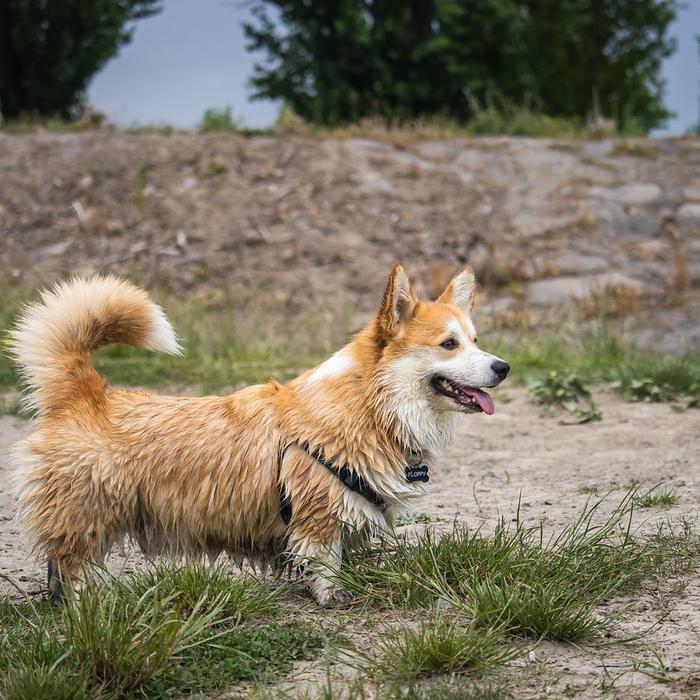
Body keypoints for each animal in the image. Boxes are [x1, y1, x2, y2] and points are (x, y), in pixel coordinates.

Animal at [9, 266, 508, 604]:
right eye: (449, 344)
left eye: (476, 340)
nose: (503, 367)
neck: (372, 404)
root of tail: (86, 391)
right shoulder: (318, 516)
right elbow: (326, 564)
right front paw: (333, 597)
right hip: (89, 513)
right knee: (71, 564)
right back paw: (83, 608)